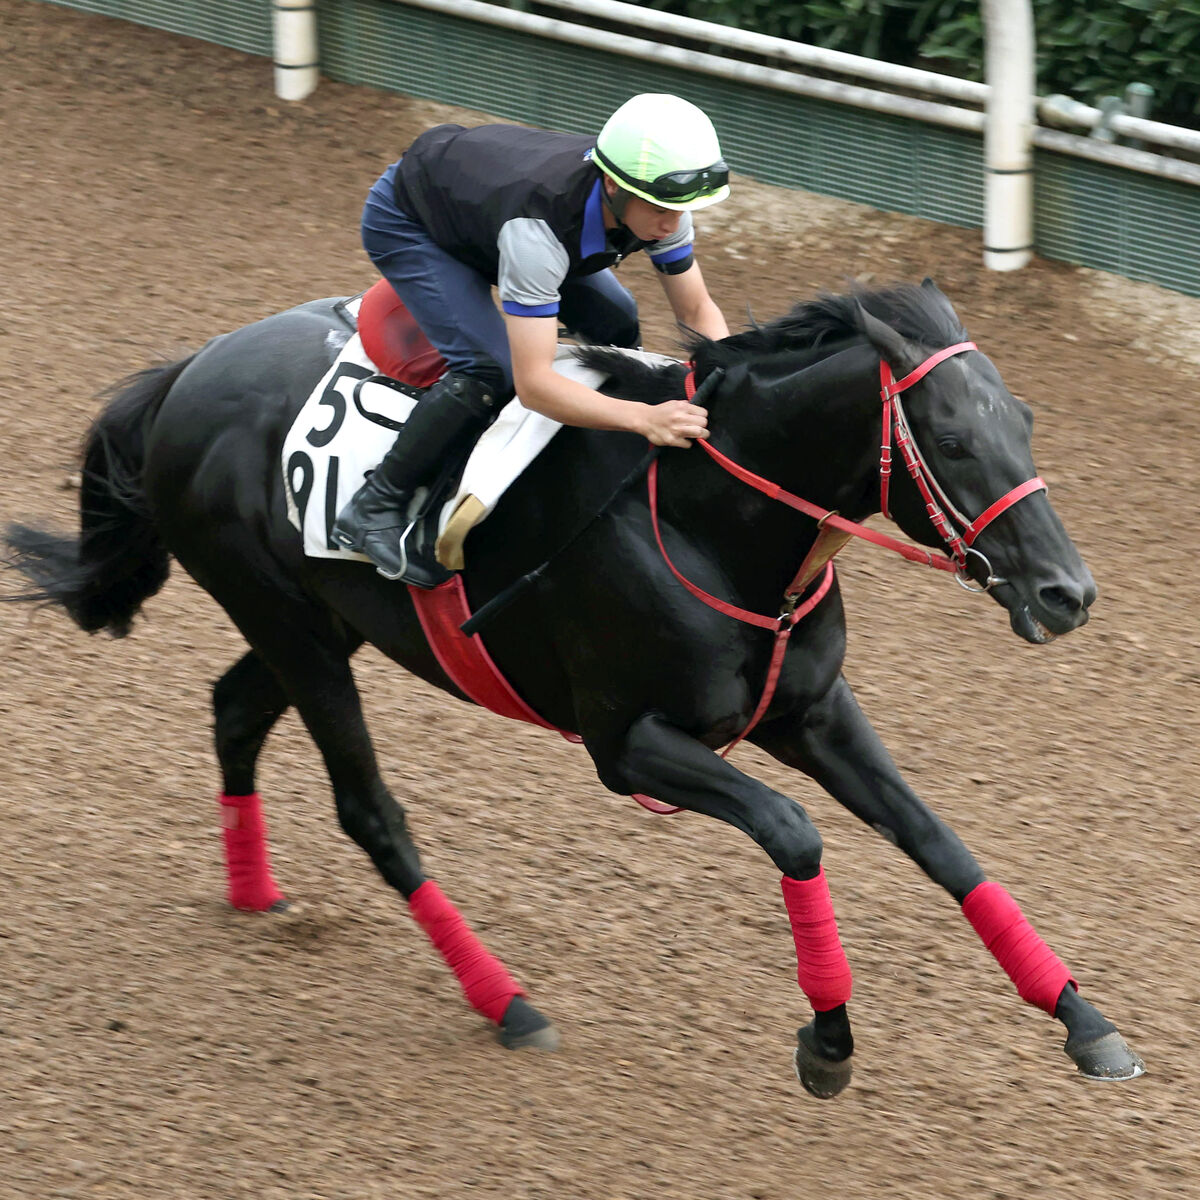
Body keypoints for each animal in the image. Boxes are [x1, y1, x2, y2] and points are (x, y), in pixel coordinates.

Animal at [2, 276, 1142, 1094]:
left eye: (1023, 421)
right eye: (950, 439)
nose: (1068, 593)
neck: (709, 518)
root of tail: (192, 368)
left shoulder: (811, 712)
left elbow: (938, 842)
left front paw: (1084, 1020)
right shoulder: (629, 744)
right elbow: (794, 834)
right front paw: (827, 1044)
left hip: (317, 624)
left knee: (235, 710)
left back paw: (254, 891)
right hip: (290, 626)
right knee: (369, 811)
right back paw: (506, 1002)